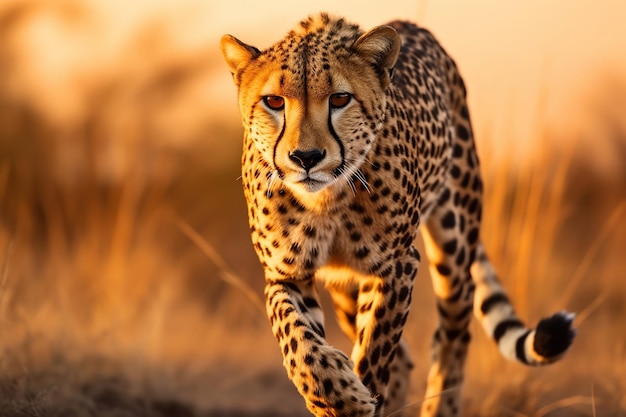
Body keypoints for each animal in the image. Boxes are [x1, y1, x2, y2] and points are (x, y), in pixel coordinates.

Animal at [219, 13, 576, 416]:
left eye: (340, 99)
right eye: (274, 101)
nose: (306, 157)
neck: (326, 200)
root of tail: (409, 23)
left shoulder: (396, 265)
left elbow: (375, 349)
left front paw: (357, 400)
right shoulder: (287, 274)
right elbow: (299, 344)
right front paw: (337, 395)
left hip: (454, 246)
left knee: (452, 333)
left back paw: (439, 405)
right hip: (345, 286)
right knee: (402, 354)